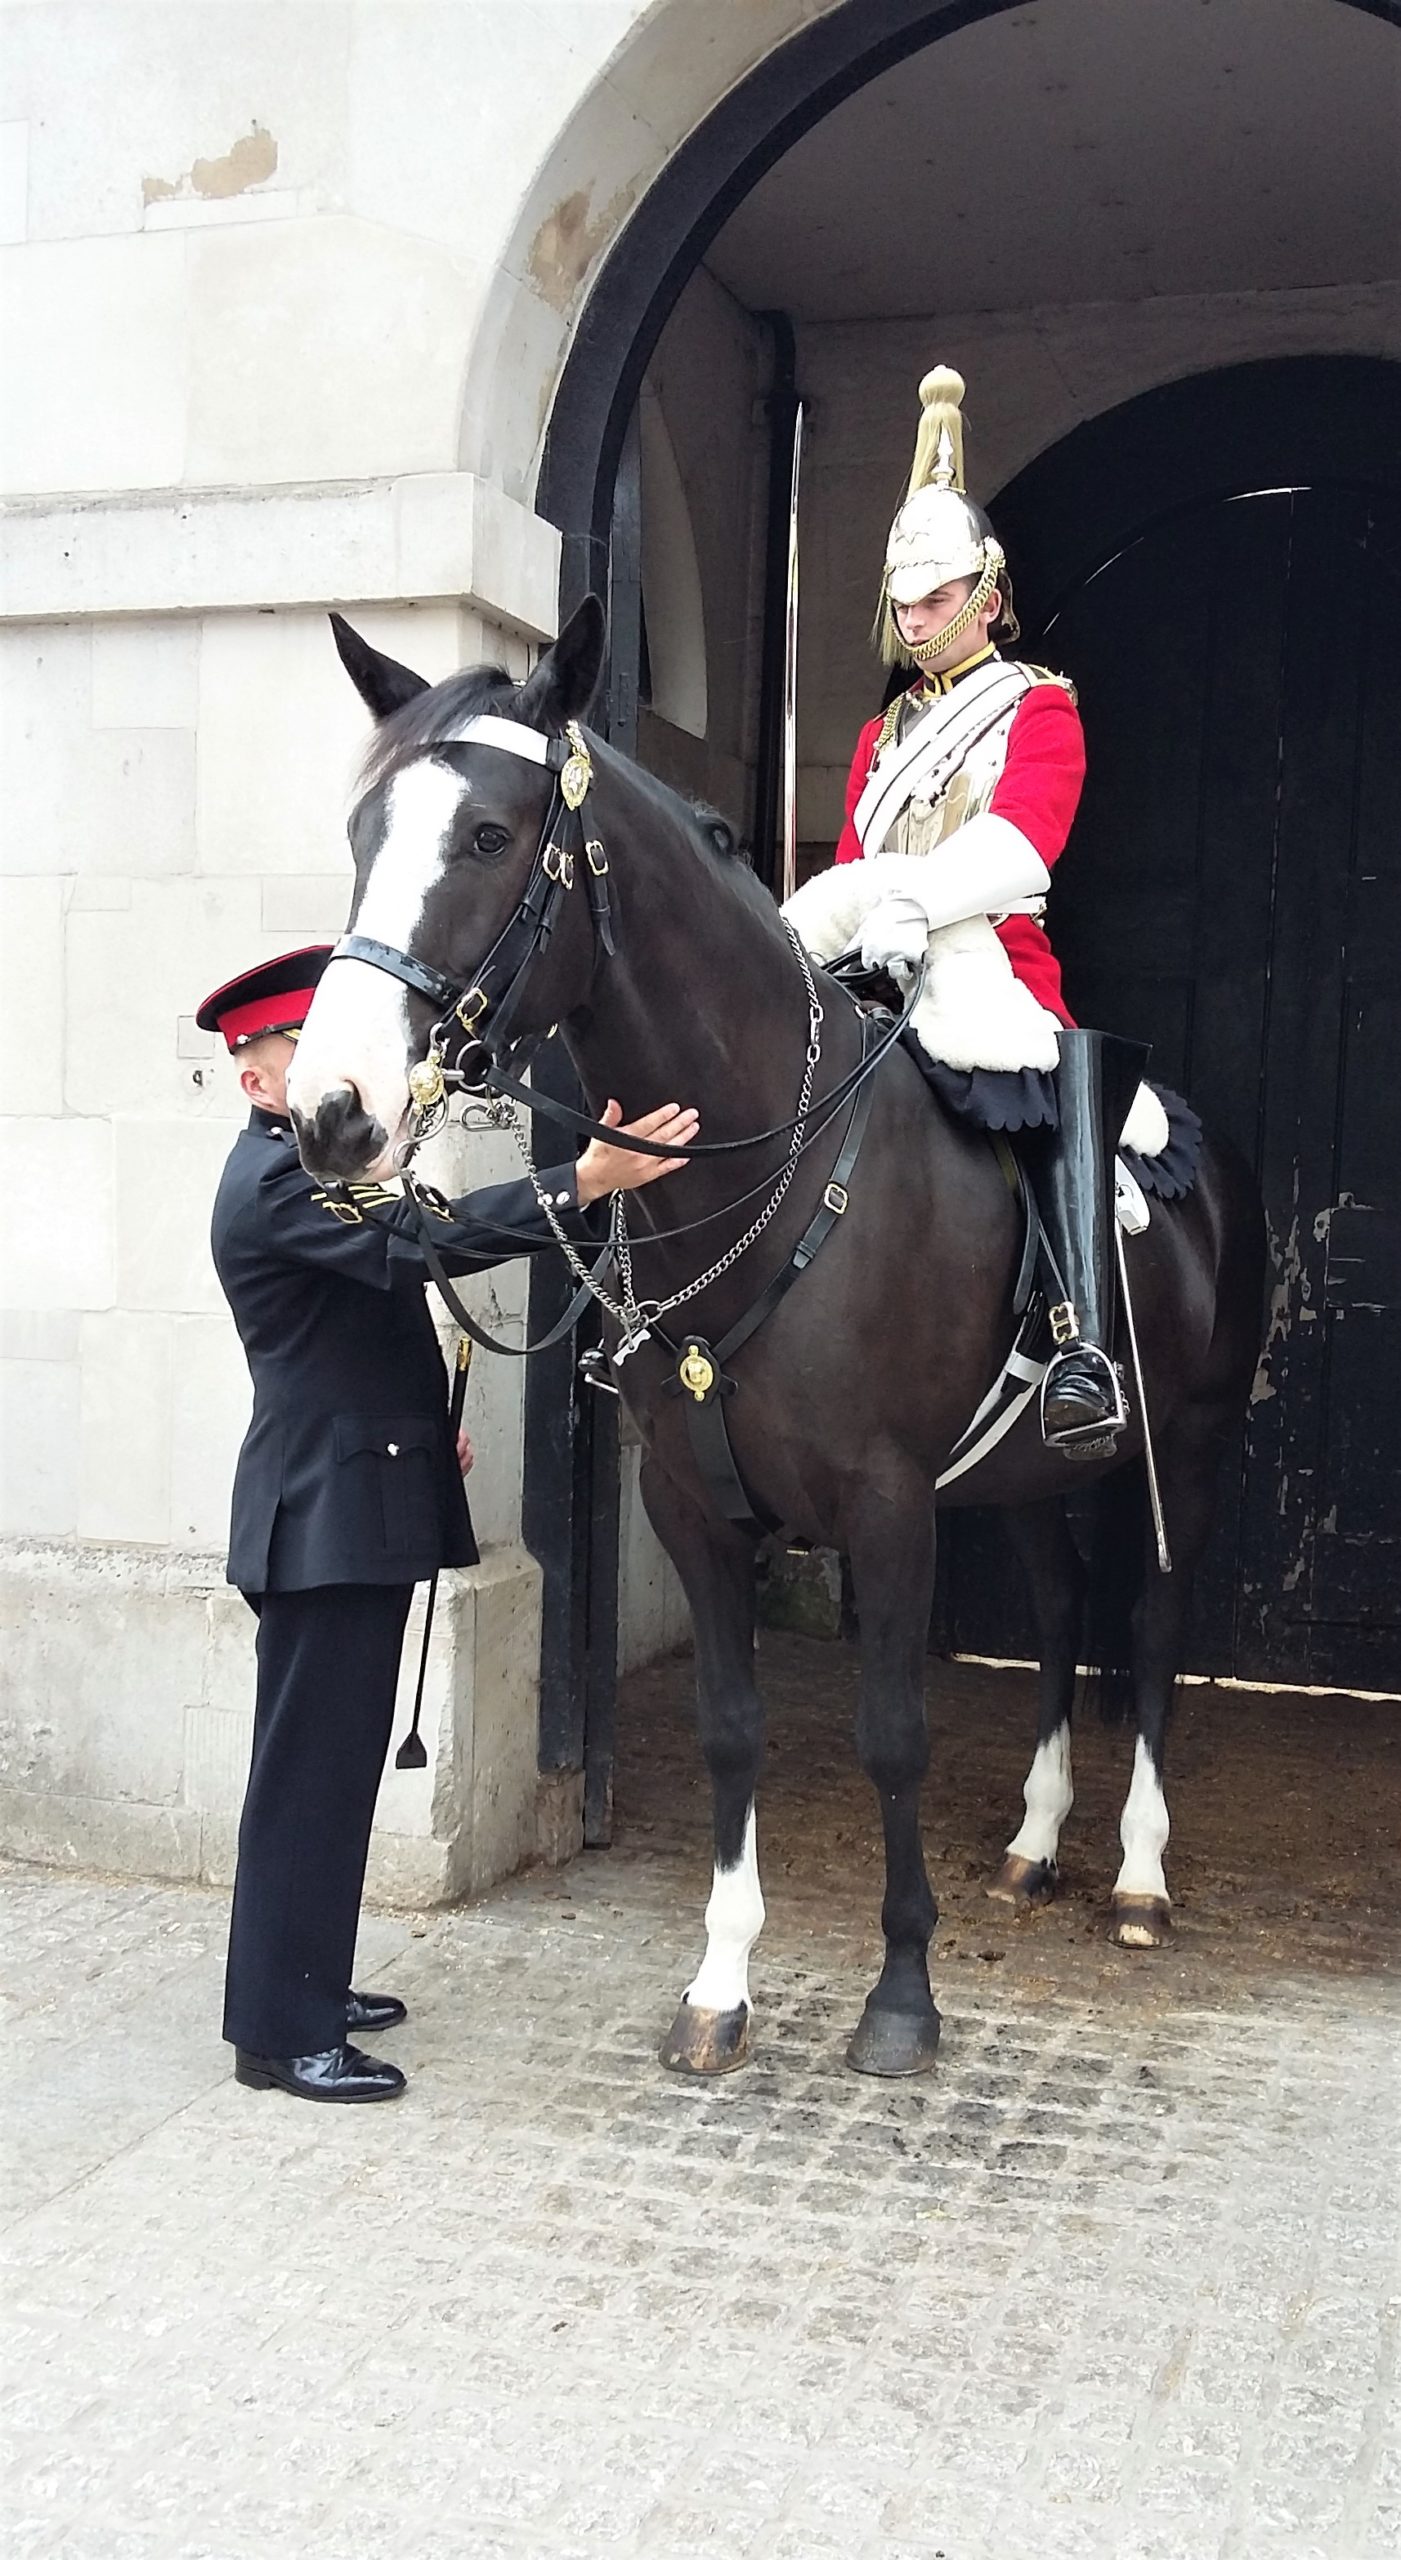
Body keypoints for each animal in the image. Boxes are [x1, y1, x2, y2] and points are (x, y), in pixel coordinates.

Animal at [288, 599, 1270, 2078]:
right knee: (1055, 1610)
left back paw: (1140, 1876)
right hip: (1024, 1474)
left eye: (488, 837)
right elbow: (730, 1732)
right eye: (361, 833)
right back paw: (1036, 1844)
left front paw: (902, 1996)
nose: (330, 1113)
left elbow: (891, 1736)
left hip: (1188, 1451)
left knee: (1151, 1628)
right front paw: (720, 1983)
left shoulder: (886, 1506)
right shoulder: (694, 1502)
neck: (769, 1163)